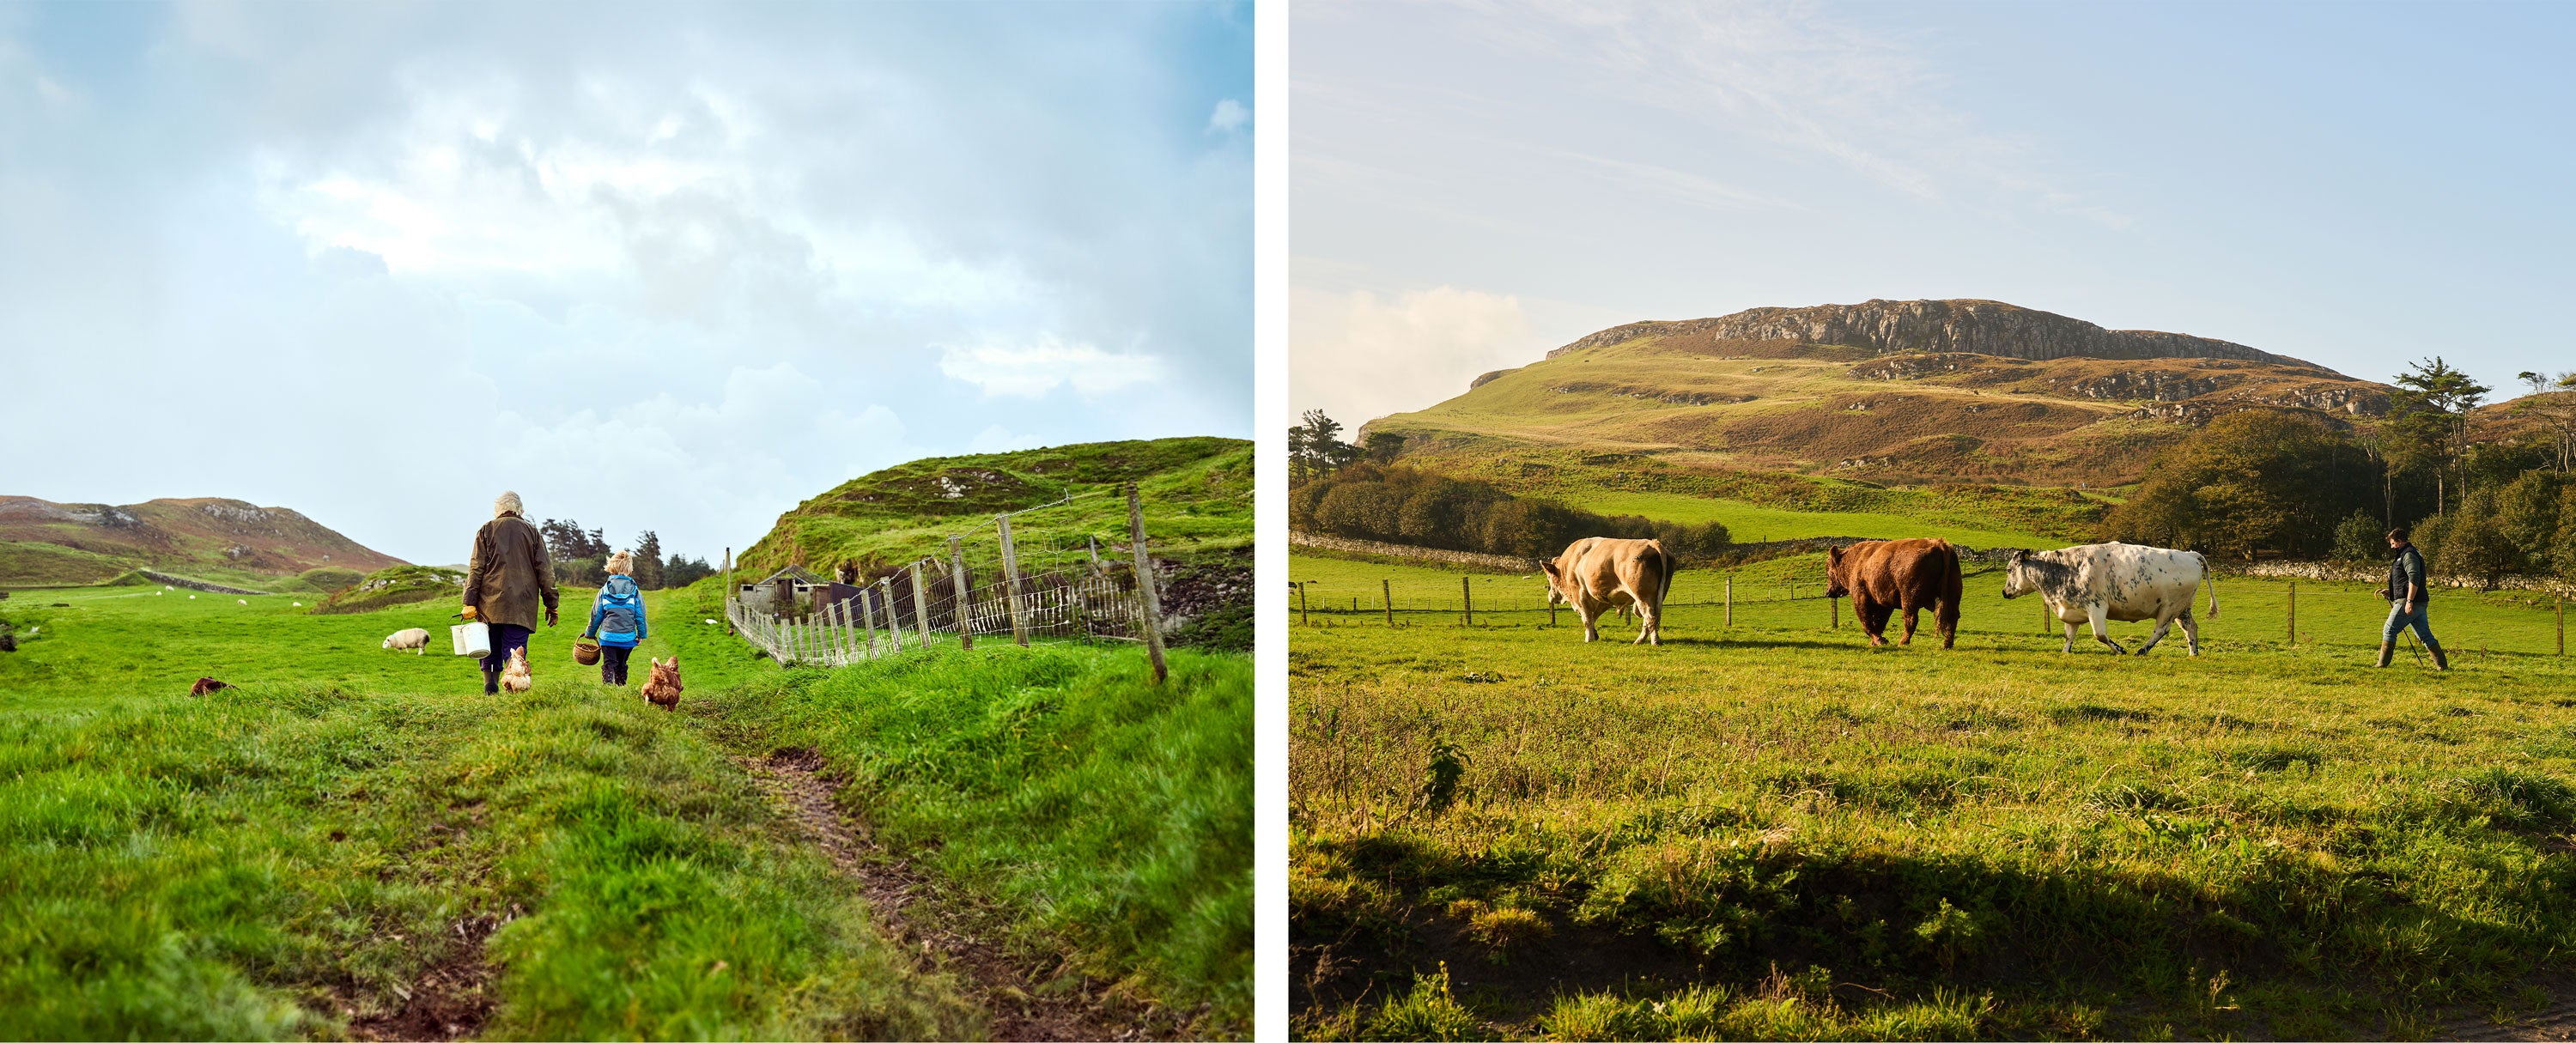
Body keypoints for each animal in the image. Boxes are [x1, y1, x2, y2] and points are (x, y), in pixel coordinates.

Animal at [1535, 536, 1680, 641]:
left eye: (1549, 577)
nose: (1550, 596)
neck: (1571, 562)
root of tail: (1653, 543)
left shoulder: (1580, 594)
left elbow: (1586, 618)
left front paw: (1589, 638)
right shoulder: (1602, 598)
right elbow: (1593, 617)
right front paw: (1595, 634)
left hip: (1643, 596)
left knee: (1649, 616)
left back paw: (1647, 641)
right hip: (1657, 596)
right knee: (1653, 618)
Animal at [1824, 541, 1958, 646]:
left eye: (1829, 570)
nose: (1828, 592)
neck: (1856, 560)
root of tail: (1939, 544)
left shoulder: (1860, 597)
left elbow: (1867, 622)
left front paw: (1880, 641)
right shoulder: (1884, 603)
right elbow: (1879, 623)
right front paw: (1876, 641)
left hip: (1908, 599)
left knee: (1911, 619)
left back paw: (1902, 642)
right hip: (1952, 596)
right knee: (1952, 618)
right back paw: (1947, 645)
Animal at [2009, 541, 2215, 654]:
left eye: (2009, 569)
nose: (2005, 592)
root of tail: (2190, 554)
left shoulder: (2097, 606)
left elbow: (2100, 635)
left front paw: (2120, 649)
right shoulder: (2072, 610)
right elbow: (2069, 635)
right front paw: (2065, 651)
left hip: (2169, 608)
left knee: (2161, 630)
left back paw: (2142, 651)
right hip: (2182, 609)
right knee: (2191, 628)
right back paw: (2193, 653)